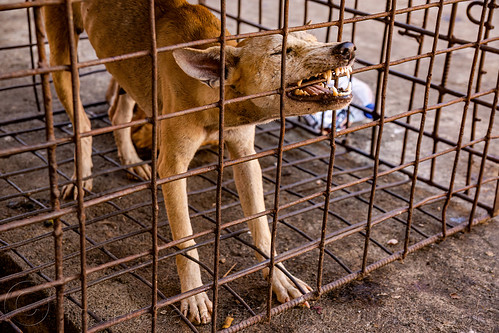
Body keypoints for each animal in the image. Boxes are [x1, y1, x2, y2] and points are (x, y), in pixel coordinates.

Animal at [44, 0, 356, 322]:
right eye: (281, 52)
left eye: (315, 40)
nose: (346, 47)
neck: (214, 94)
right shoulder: (172, 168)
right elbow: (186, 239)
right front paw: (194, 294)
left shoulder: (246, 157)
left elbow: (261, 226)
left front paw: (280, 277)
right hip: (62, 57)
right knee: (82, 123)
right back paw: (81, 177)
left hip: (125, 70)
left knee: (117, 112)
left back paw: (131, 159)